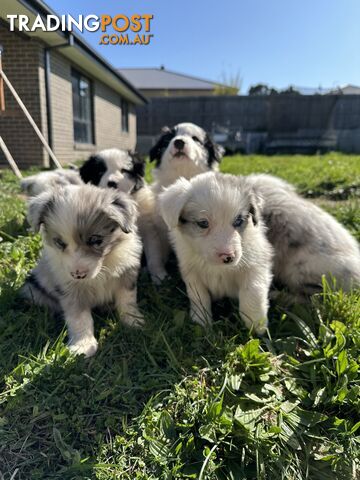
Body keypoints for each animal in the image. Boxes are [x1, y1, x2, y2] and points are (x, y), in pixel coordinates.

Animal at [22, 184, 145, 356]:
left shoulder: (126, 275)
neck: (103, 266)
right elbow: (79, 318)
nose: (78, 275)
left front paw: (134, 322)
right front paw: (83, 346)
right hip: (32, 288)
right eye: (59, 243)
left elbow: (127, 301)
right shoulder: (69, 288)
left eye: (95, 240)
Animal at [79, 148, 167, 284]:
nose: (112, 182)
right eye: (100, 171)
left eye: (124, 170)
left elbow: (153, 253)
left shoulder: (148, 229)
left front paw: (158, 275)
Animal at [158, 172, 272, 334]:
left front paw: (256, 325)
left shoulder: (258, 263)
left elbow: (252, 292)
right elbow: (199, 296)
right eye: (203, 223)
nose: (228, 257)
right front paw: (202, 323)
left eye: (238, 221)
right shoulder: (191, 272)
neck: (219, 269)